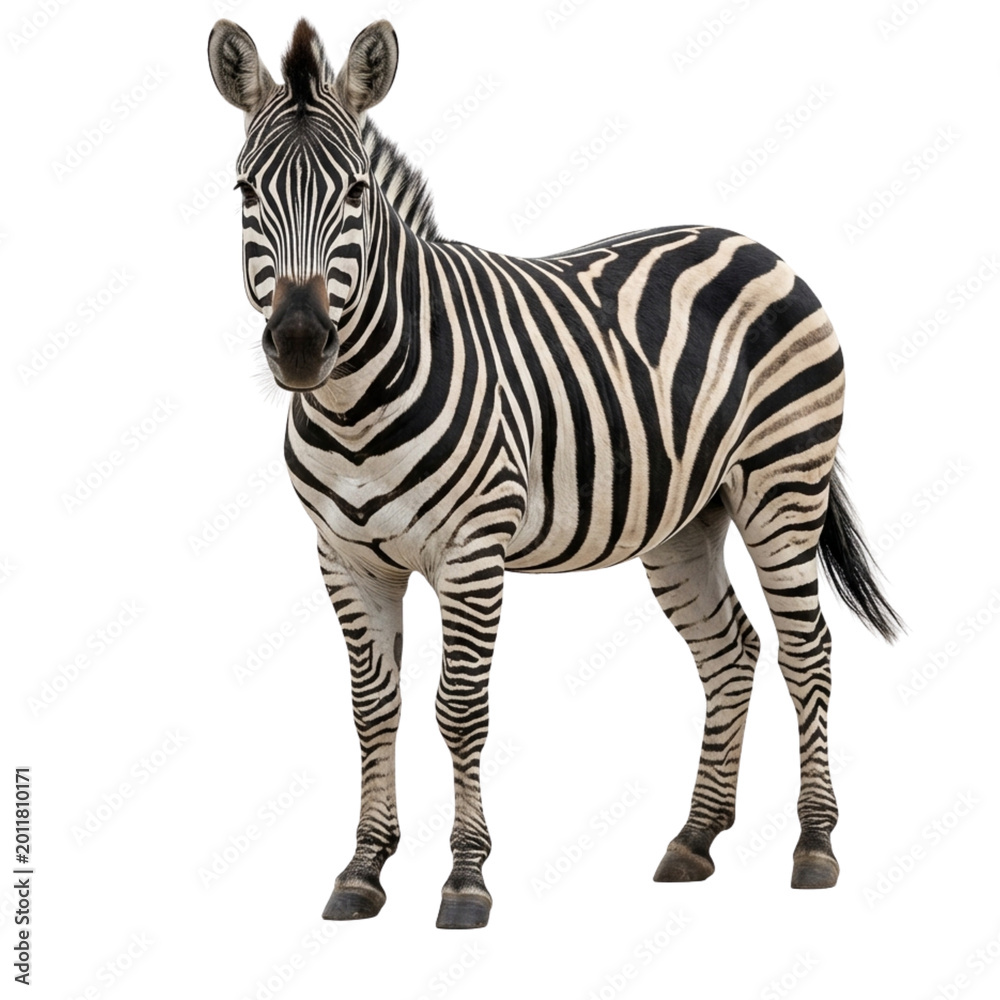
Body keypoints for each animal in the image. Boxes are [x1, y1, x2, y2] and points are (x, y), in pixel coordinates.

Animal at [208, 17, 901, 929]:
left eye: (355, 193)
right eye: (245, 193)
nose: (298, 344)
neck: (355, 406)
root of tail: (755, 245)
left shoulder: (471, 553)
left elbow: (459, 709)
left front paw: (466, 879)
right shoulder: (345, 559)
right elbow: (373, 710)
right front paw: (362, 869)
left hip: (783, 482)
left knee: (805, 647)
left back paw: (815, 845)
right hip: (686, 518)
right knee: (731, 650)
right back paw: (695, 839)